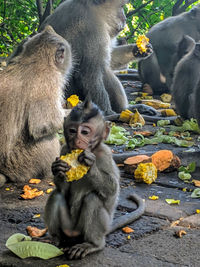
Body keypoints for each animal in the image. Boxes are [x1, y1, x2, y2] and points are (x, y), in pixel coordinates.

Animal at [44, 100, 145, 260]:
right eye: (72, 130)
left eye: (85, 132)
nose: (77, 140)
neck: (93, 150)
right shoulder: (65, 149)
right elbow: (63, 189)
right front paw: (58, 168)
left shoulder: (105, 154)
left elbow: (112, 189)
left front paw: (89, 165)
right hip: (68, 228)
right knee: (56, 195)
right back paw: (55, 238)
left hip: (91, 229)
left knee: (92, 200)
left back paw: (93, 245)